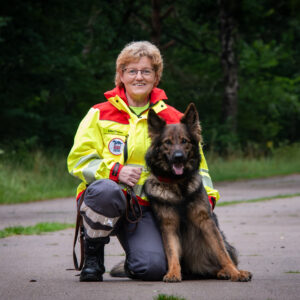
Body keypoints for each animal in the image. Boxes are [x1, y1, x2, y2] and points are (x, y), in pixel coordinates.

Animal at [144, 103, 252, 282]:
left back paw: (227, 271)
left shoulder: (206, 221)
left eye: (184, 141)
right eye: (167, 142)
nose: (178, 157)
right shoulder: (168, 225)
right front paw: (173, 273)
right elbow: (172, 253)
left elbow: (221, 253)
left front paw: (235, 273)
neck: (178, 185)